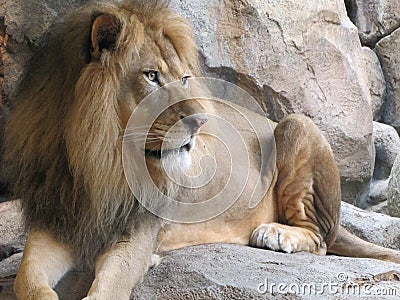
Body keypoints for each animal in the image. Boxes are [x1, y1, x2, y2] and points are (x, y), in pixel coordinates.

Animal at [3, 0, 400, 300]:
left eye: (183, 78)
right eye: (151, 76)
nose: (199, 121)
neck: (95, 160)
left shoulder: (138, 228)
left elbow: (111, 286)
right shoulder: (56, 219)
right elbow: (27, 280)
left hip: (297, 124)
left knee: (320, 239)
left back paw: (276, 234)